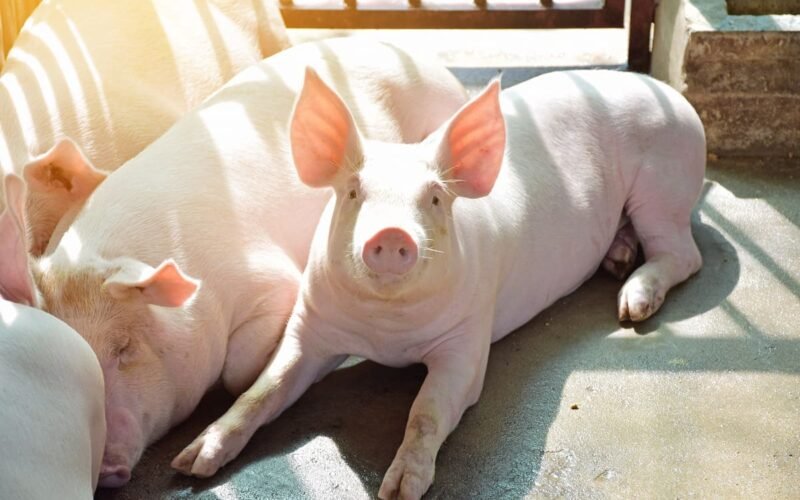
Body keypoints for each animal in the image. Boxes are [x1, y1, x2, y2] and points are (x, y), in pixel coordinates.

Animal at [174, 69, 706, 498]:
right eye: (353, 193)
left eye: (433, 198)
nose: (391, 233)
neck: (386, 332)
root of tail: (669, 95)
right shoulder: (310, 325)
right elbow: (262, 390)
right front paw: (190, 464)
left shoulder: (467, 341)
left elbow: (426, 411)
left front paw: (400, 489)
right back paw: (617, 261)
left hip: (664, 183)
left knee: (686, 254)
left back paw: (630, 305)